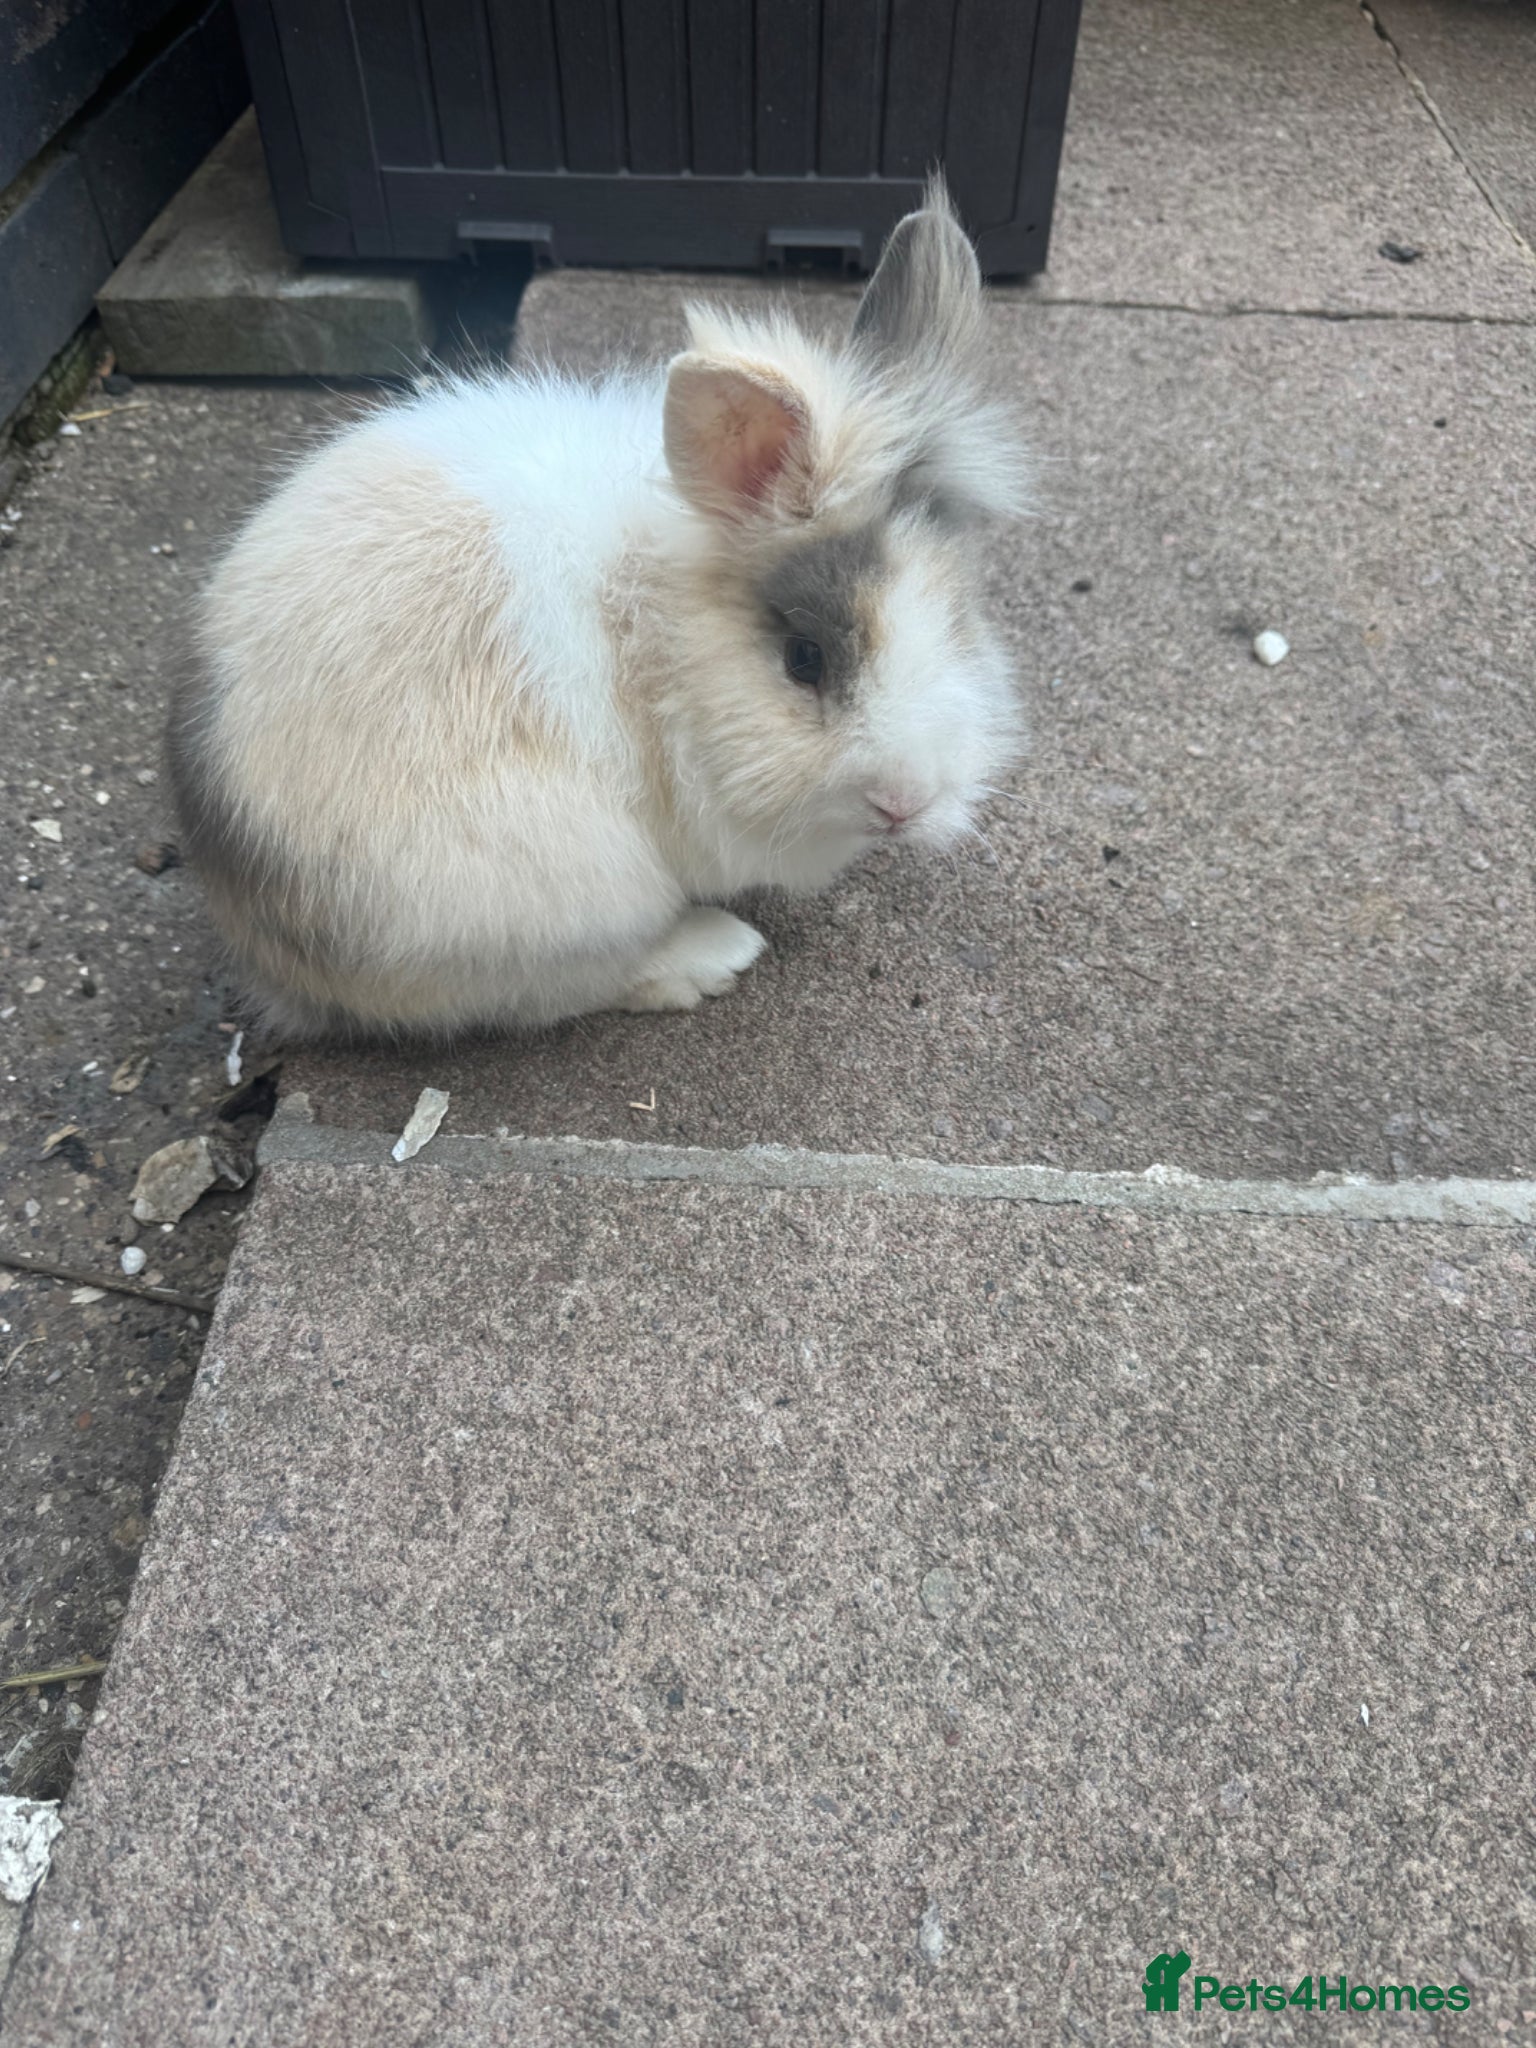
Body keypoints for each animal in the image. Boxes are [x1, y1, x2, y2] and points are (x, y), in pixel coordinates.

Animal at [168, 177, 1030, 1039]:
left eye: (960, 623)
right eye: (804, 660)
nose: (905, 802)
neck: (650, 636)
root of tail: (260, 930)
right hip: (550, 899)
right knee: (550, 988)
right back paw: (715, 954)